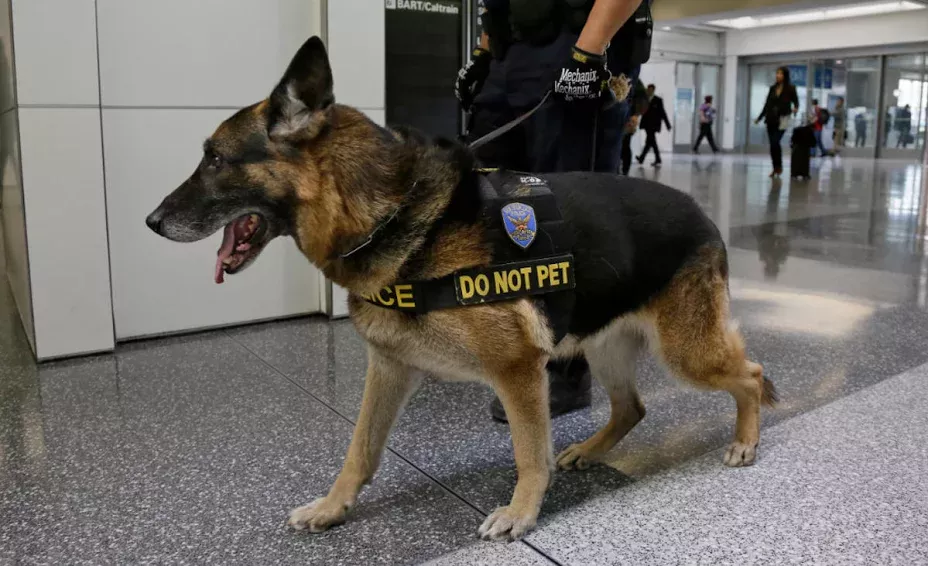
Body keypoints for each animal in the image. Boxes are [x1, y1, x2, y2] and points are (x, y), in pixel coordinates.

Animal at [147, 35, 776, 540]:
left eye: (215, 159)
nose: (151, 222)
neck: (391, 215)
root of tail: (700, 210)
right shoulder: (390, 368)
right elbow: (359, 449)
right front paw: (332, 507)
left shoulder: (517, 371)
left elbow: (529, 452)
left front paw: (521, 513)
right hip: (603, 345)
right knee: (632, 407)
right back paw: (588, 450)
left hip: (686, 352)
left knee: (751, 374)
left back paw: (746, 440)